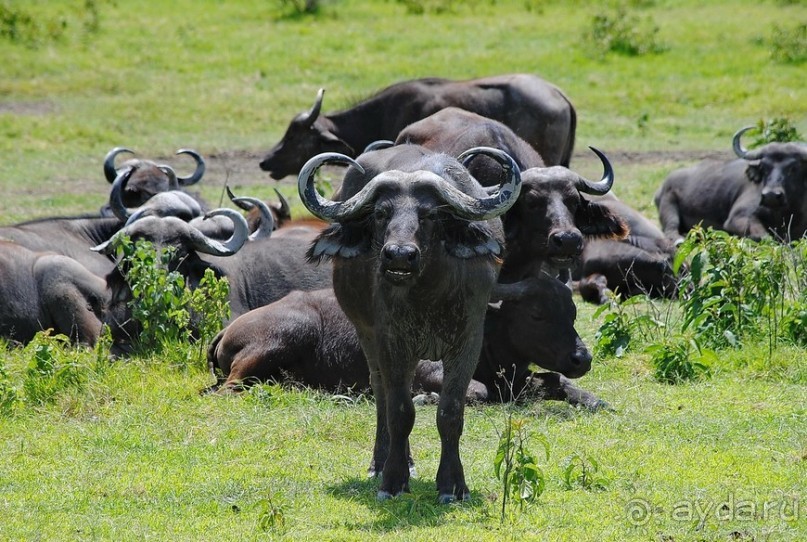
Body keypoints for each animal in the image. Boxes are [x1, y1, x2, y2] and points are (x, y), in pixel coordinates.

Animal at [300, 144, 520, 506]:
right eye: (380, 214)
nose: (399, 256)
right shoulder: (392, 341)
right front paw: (393, 479)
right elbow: (400, 411)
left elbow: (450, 411)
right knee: (382, 394)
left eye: (429, 214)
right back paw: (384, 461)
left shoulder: (468, 341)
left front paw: (452, 485)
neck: (428, 294)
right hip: (366, 333)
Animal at [656, 127, 807, 242]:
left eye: (793, 168)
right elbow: (764, 237)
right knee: (670, 228)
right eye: (764, 167)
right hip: (669, 205)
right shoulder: (738, 218)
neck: (784, 213)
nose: (770, 195)